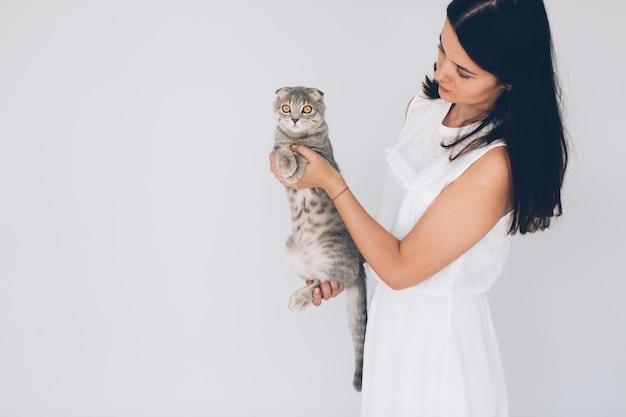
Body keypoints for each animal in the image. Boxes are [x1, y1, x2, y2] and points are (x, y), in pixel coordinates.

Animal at [272, 84, 366, 390]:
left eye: (307, 109)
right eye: (286, 108)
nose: (294, 119)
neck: (297, 137)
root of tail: (358, 267)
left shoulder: (321, 155)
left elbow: (304, 154)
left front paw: (294, 167)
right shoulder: (276, 145)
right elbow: (282, 149)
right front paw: (287, 163)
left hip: (333, 253)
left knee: (328, 280)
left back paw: (299, 299)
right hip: (292, 250)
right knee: (316, 280)